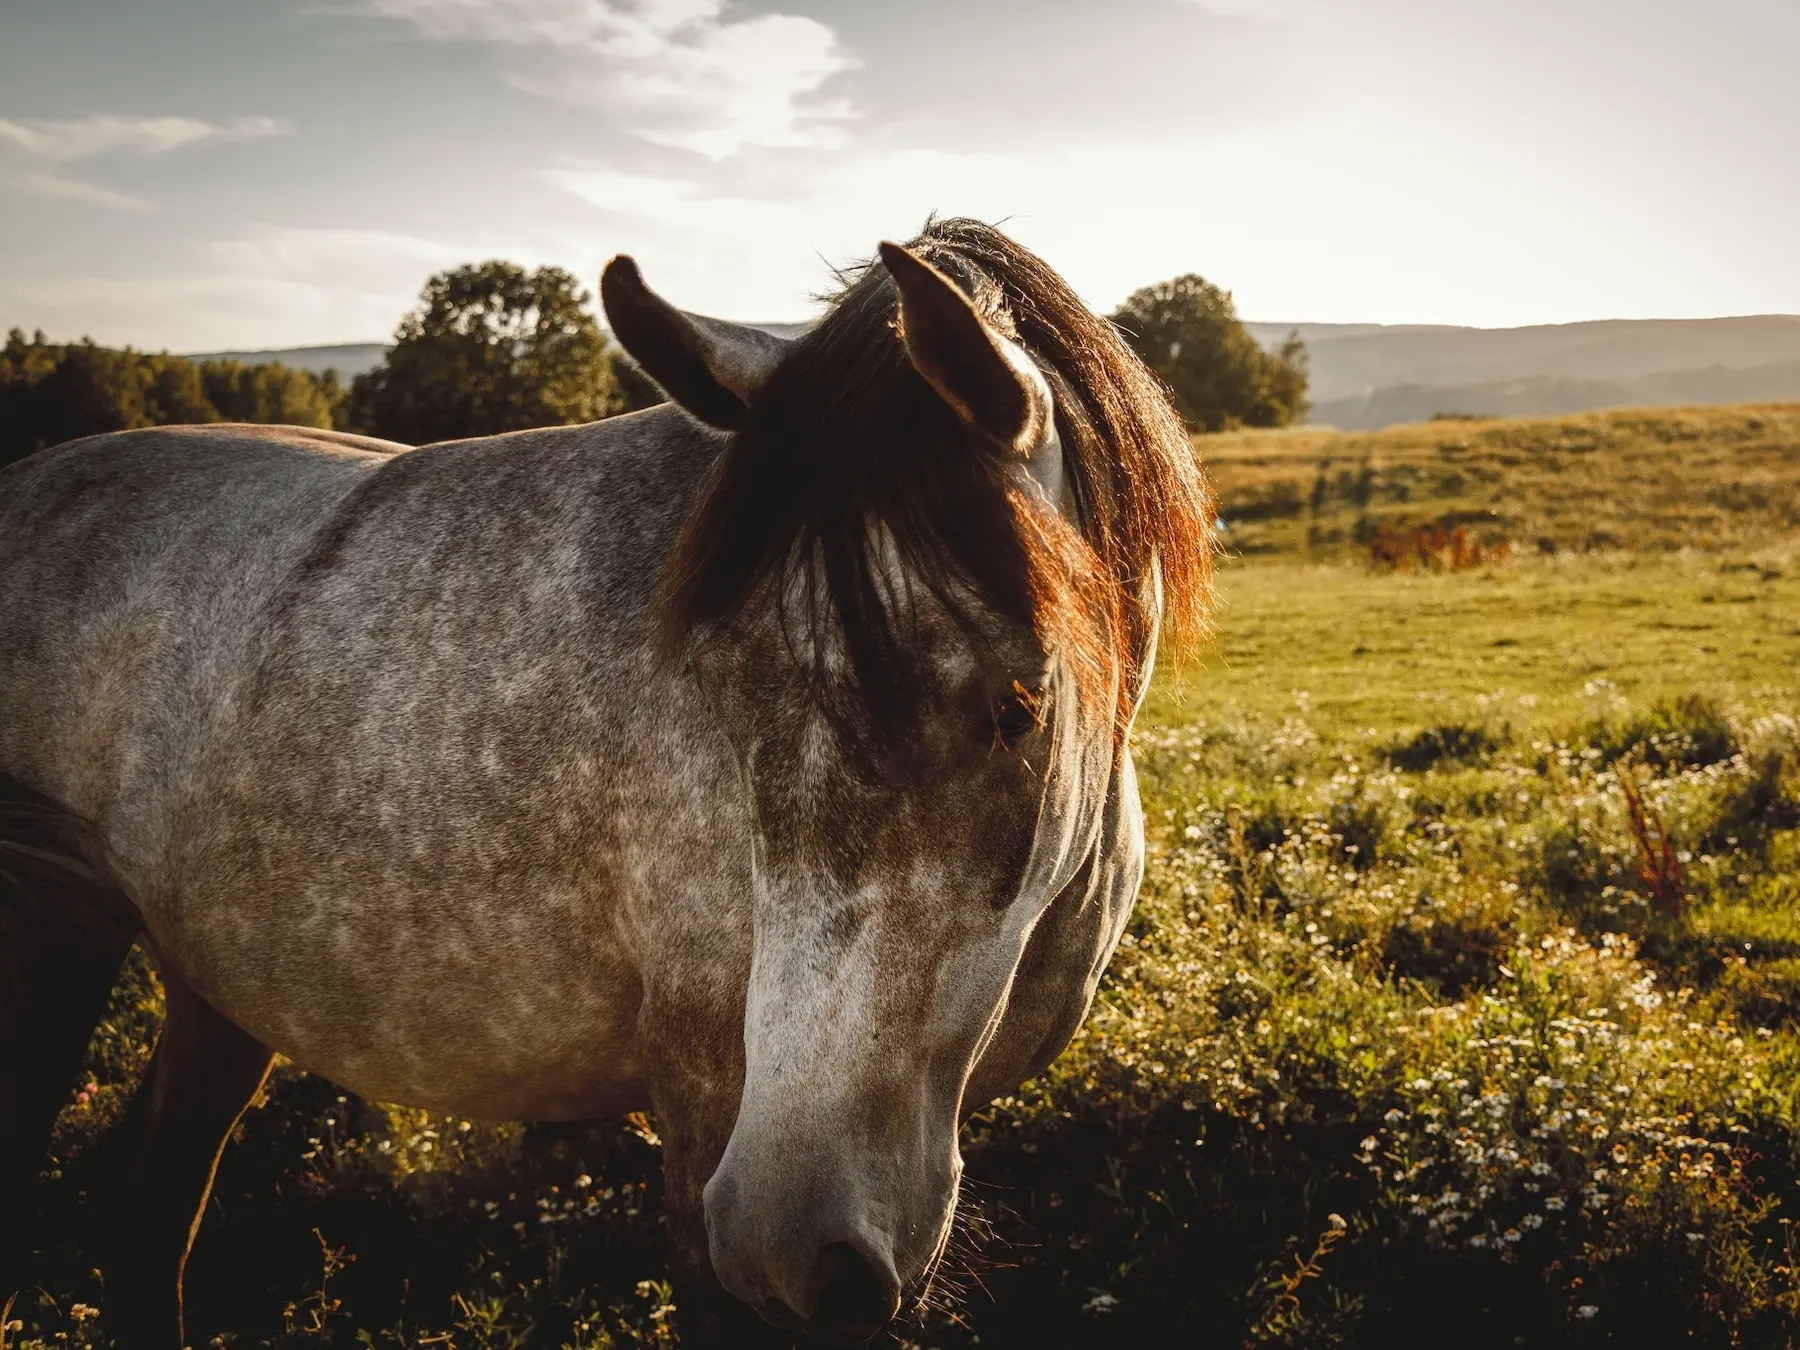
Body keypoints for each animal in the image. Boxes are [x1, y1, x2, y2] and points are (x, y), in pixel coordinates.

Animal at [0, 216, 1216, 1346]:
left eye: (1015, 709)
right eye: (721, 688)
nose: (793, 1245)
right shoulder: (706, 1105)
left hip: (216, 979)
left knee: (149, 1199)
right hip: (56, 939)